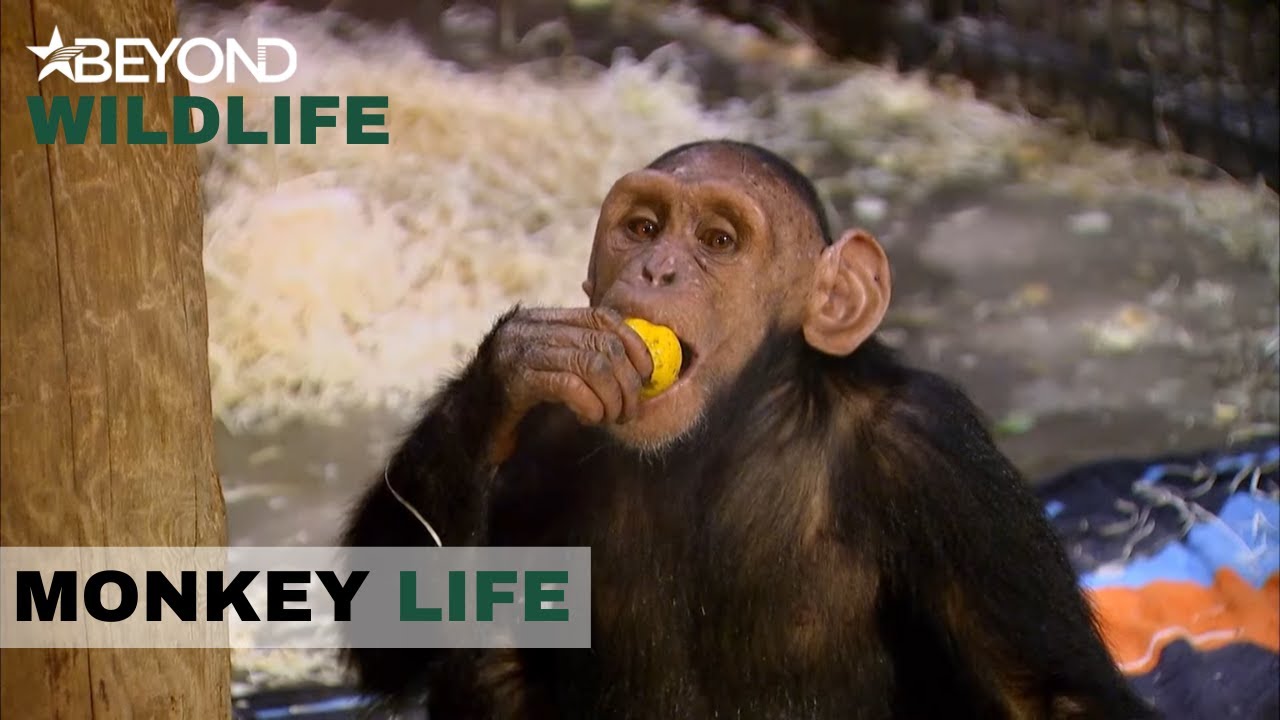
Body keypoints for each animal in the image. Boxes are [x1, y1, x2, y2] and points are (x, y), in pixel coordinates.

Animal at [343, 139, 1157, 720]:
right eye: (642, 227)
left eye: (719, 241)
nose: (657, 269)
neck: (720, 438)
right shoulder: (546, 436)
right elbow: (394, 630)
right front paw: (523, 359)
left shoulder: (940, 458)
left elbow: (1050, 697)